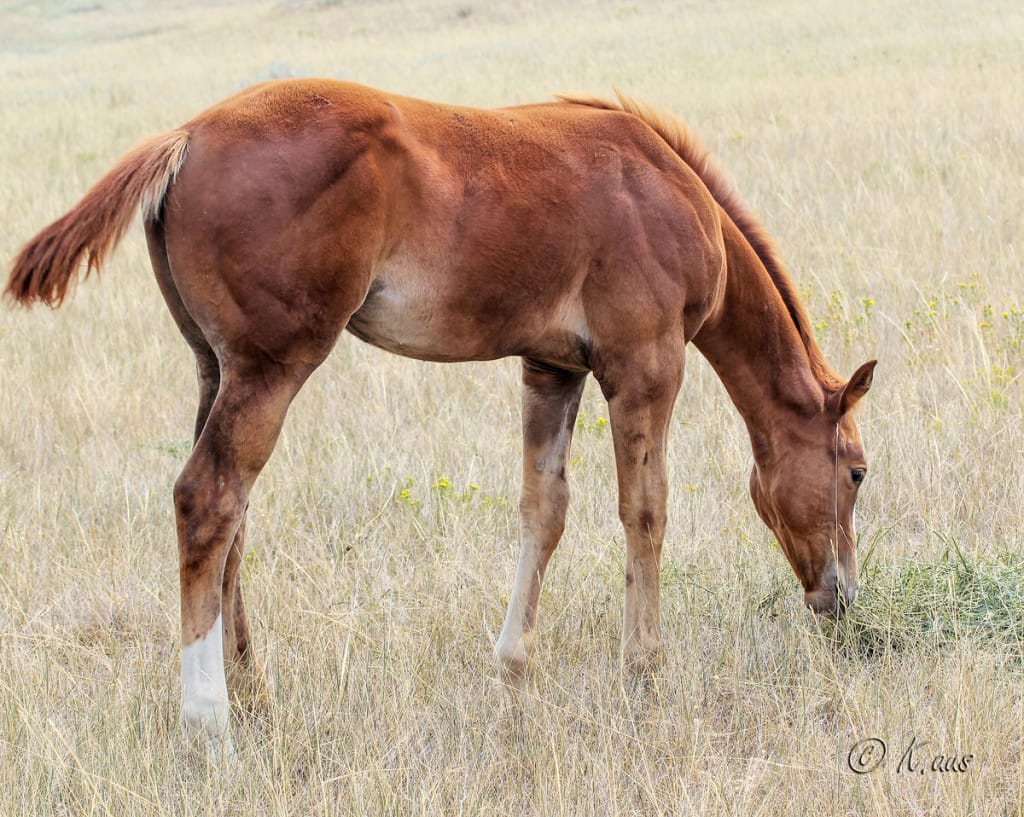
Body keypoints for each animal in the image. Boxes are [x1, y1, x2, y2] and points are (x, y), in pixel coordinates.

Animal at [6, 79, 872, 757]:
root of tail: (185, 137)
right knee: (208, 499)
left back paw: (256, 700)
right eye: (858, 471)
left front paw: (513, 667)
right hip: (270, 365)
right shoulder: (645, 363)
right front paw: (644, 674)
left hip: (213, 367)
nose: (842, 600)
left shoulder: (552, 367)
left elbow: (544, 509)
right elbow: (645, 511)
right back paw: (208, 719)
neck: (665, 188)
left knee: (232, 524)